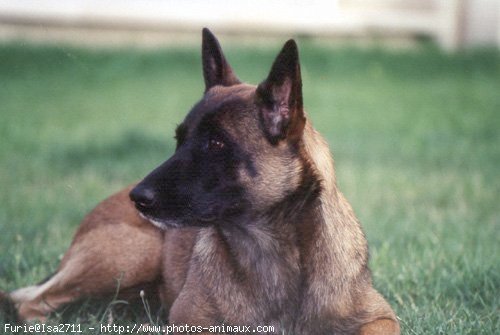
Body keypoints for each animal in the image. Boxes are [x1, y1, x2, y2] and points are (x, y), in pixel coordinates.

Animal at [4, 29, 398, 335]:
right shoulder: (192, 320)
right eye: (180, 140)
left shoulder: (381, 318)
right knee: (31, 303)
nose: (138, 198)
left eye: (216, 144)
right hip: (130, 256)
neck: (271, 252)